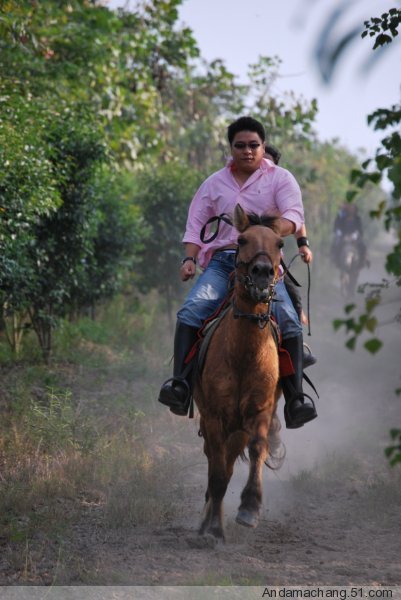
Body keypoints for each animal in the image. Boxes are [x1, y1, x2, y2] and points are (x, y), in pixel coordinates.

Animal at [193, 204, 282, 540]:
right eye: (242, 240)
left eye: (279, 244)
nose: (262, 273)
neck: (244, 354)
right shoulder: (215, 416)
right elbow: (217, 472)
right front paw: (211, 528)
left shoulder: (258, 412)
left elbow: (257, 450)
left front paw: (250, 507)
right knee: (215, 462)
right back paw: (208, 520)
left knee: (230, 462)